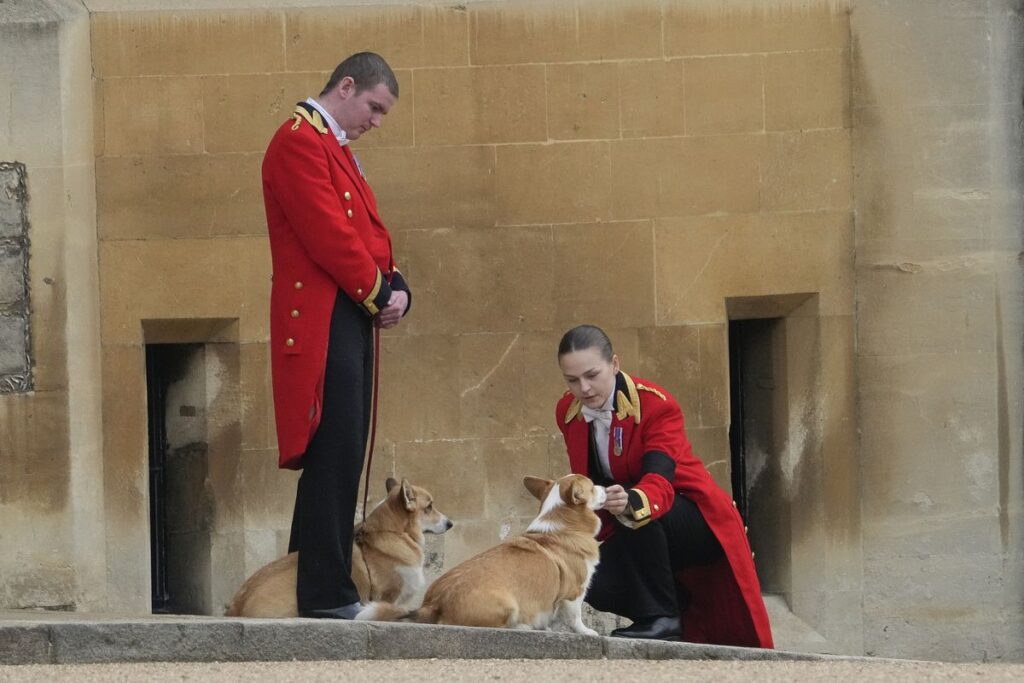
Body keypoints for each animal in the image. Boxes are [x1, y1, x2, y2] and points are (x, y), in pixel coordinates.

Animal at [358, 473, 602, 634]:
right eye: (592, 487)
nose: (605, 486)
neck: (563, 524)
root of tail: (432, 605)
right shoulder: (575, 591)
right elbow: (575, 616)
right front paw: (586, 632)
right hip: (508, 604)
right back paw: (523, 626)